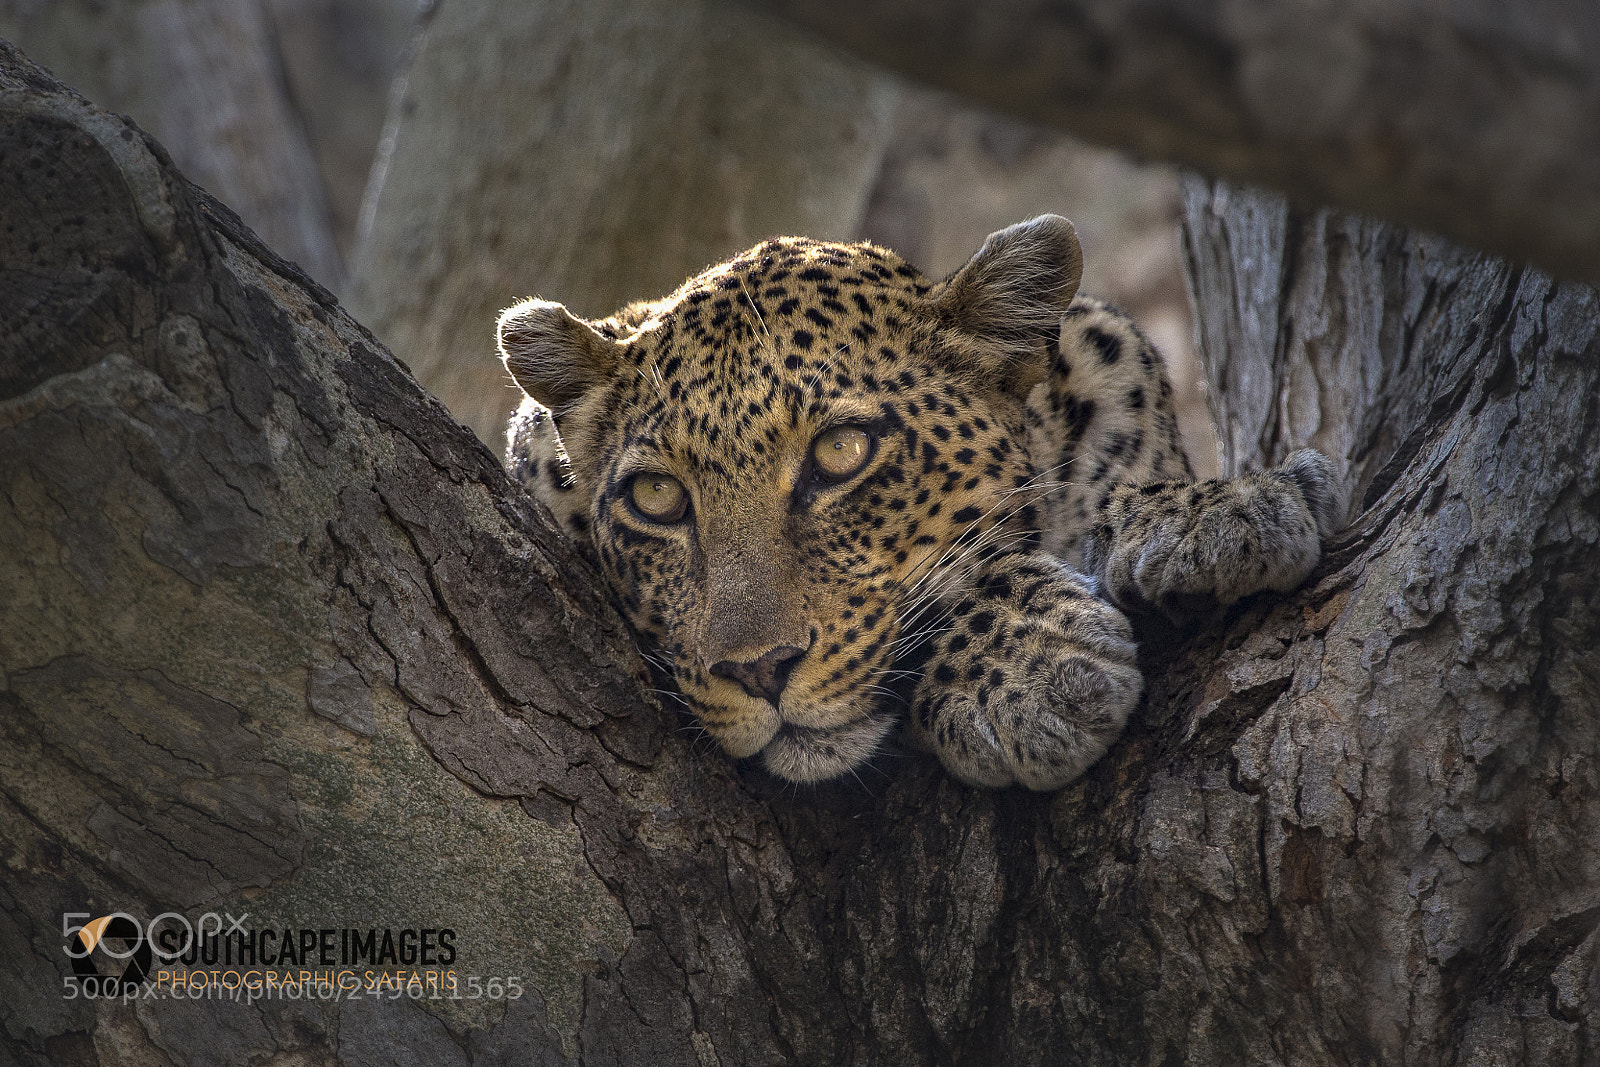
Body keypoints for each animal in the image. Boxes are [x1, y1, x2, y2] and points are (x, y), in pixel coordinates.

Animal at [497, 215, 1341, 791]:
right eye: (657, 496)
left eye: (842, 452)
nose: (759, 671)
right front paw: (1032, 673)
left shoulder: (1107, 352)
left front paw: (1215, 509)